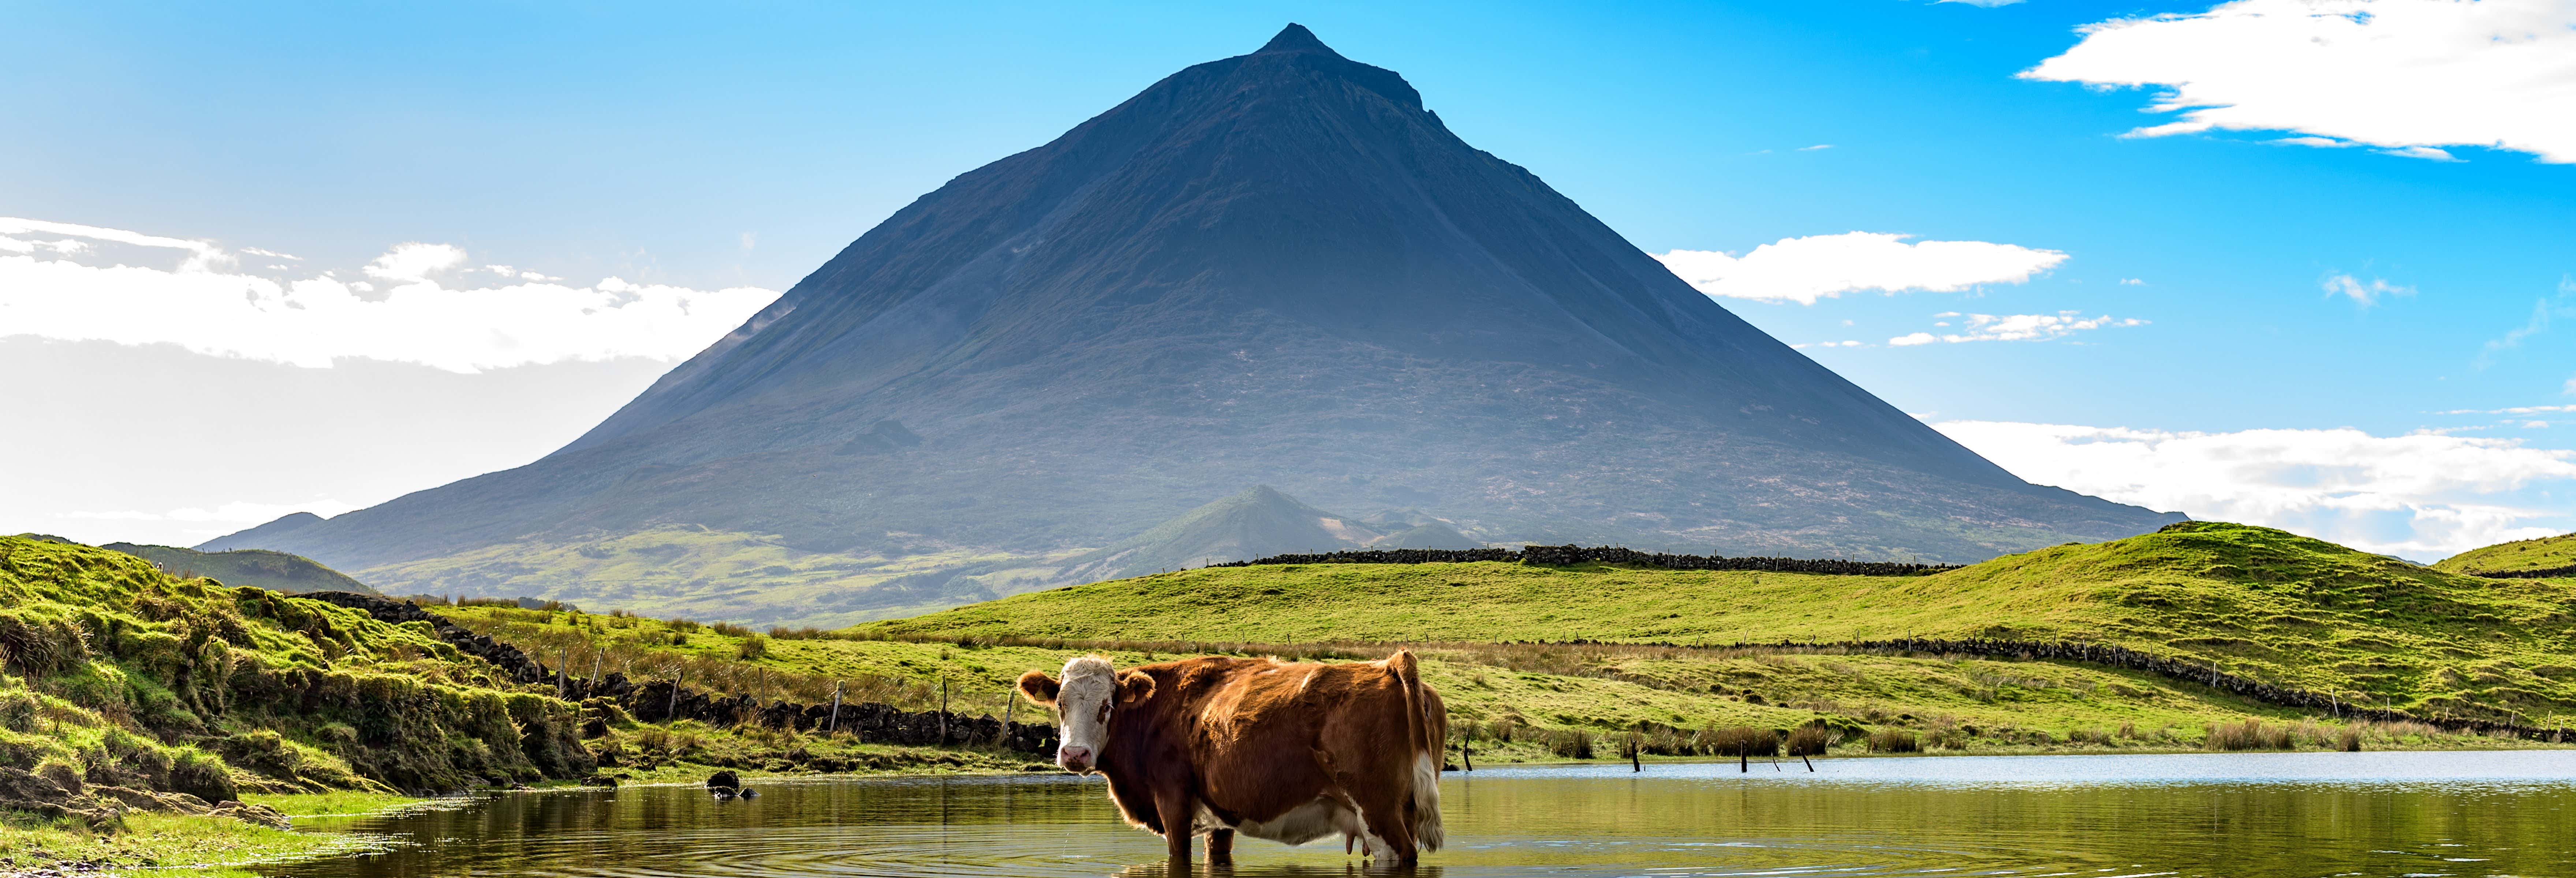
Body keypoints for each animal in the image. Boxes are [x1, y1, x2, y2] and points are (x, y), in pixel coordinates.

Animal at [1009, 649, 1453, 860]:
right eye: (1061, 704)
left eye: (1108, 705)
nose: (1075, 754)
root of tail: (1390, 665)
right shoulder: (1218, 819)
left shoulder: (1173, 801)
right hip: (1401, 810)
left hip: (1378, 811)